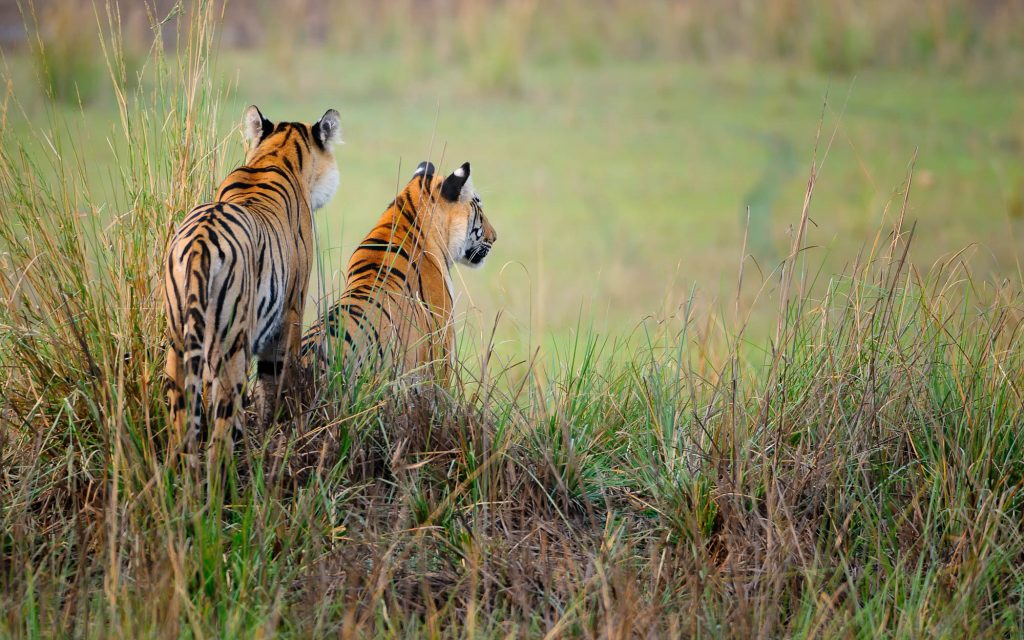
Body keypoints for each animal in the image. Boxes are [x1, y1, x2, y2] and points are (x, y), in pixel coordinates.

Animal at [163, 104, 344, 452]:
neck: (275, 154)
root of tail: (200, 242)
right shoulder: (292, 309)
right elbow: (278, 381)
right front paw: (285, 432)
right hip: (231, 346)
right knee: (220, 435)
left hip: (178, 343)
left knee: (182, 428)